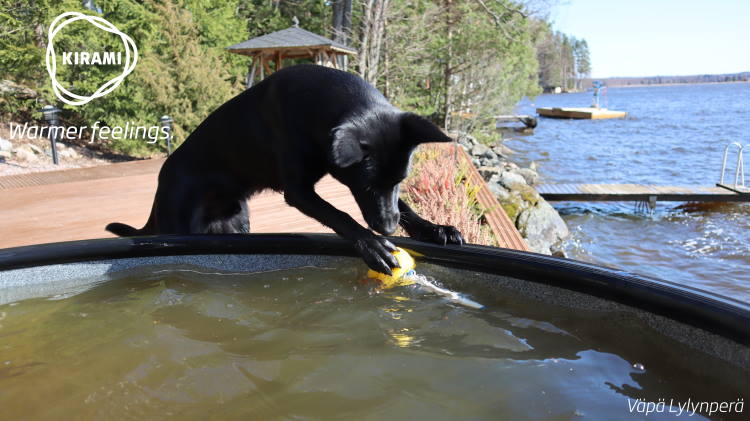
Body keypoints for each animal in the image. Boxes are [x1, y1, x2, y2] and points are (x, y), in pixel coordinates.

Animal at [107, 62, 464, 272]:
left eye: (402, 179)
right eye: (366, 186)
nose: (388, 229)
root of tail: (160, 186)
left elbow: (403, 206)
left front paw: (433, 228)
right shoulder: (299, 191)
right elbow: (341, 214)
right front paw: (372, 244)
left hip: (237, 221)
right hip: (181, 226)